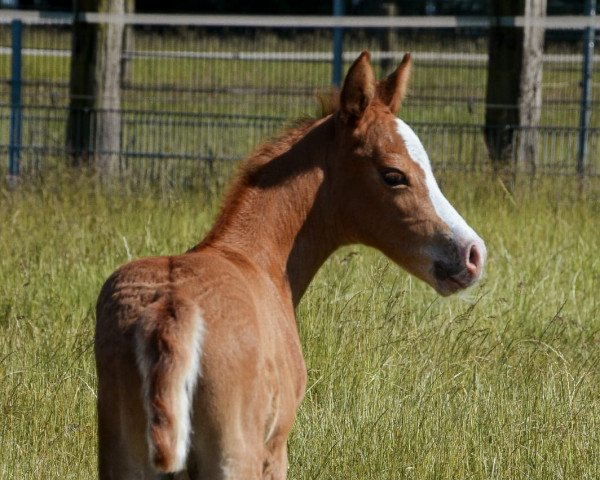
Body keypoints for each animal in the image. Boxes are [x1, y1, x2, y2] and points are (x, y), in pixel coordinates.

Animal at [95, 50, 488, 478]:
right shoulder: (276, 448)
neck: (257, 259)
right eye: (394, 175)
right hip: (235, 456)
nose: (473, 253)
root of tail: (170, 315)